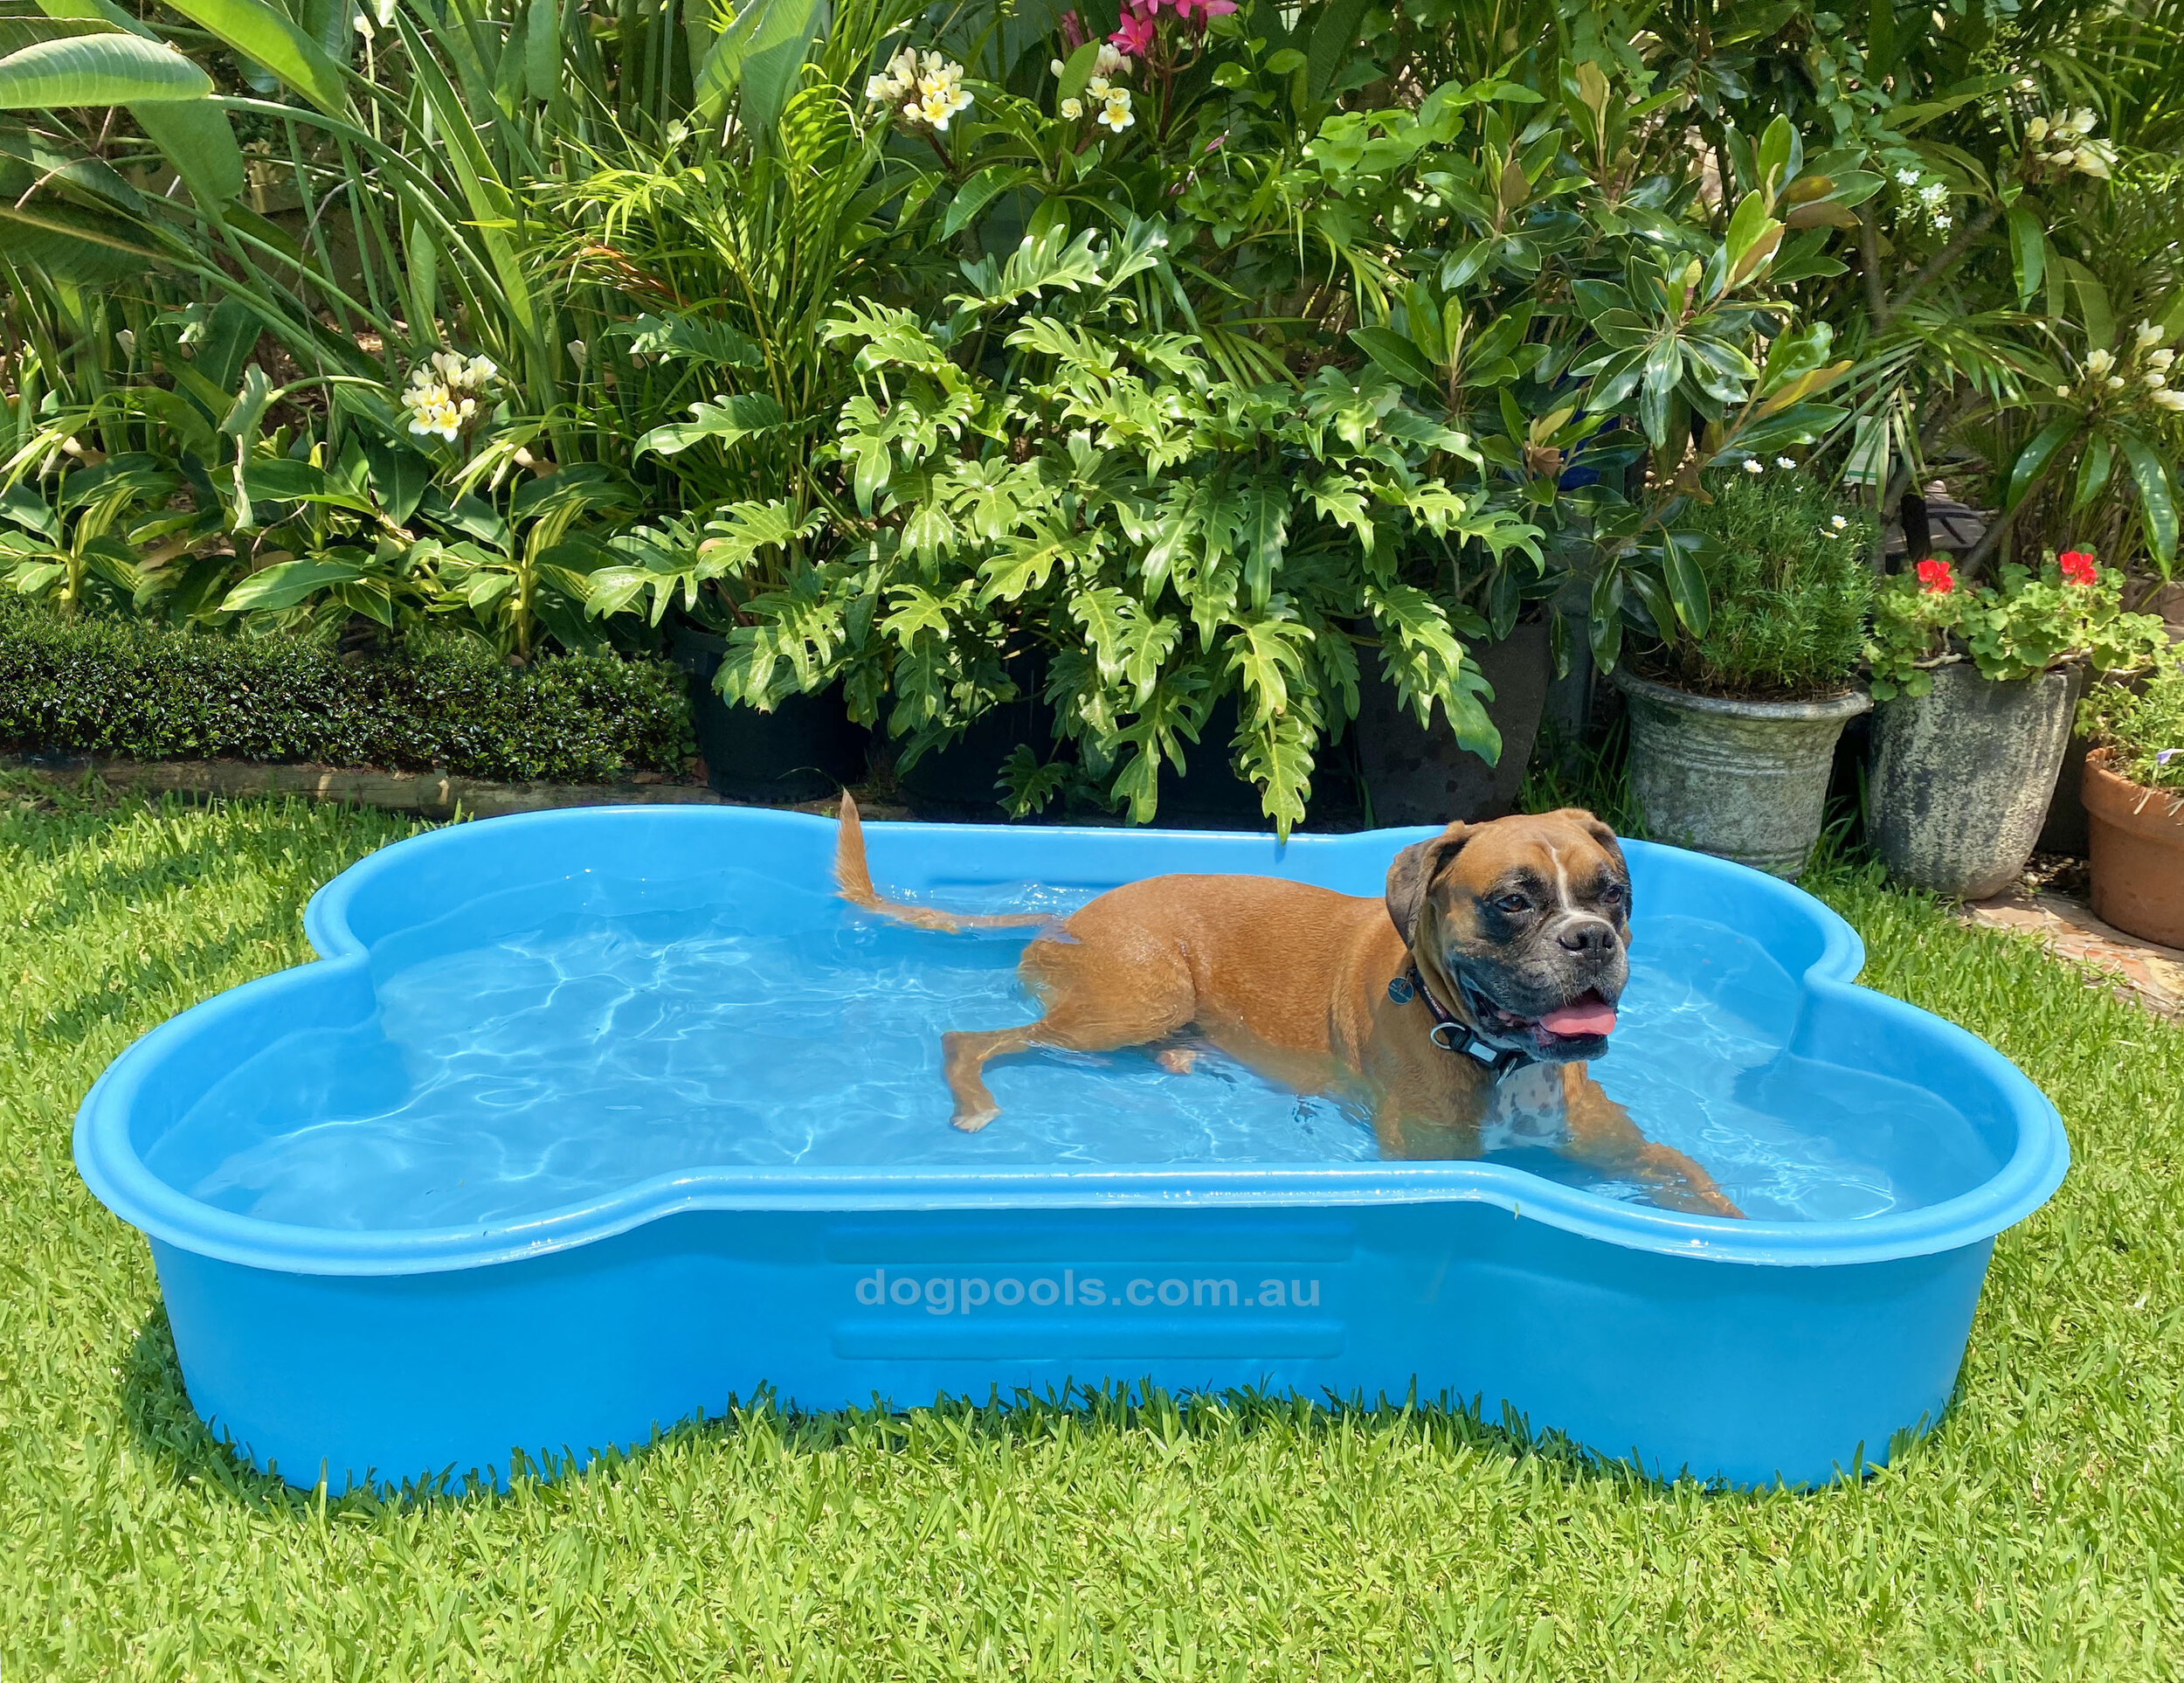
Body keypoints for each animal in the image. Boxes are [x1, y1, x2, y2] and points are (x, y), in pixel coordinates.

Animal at [830, 795, 1738, 1215]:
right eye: (1512, 902)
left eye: (1612, 892)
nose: (1591, 940)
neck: (1499, 1058)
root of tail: (1072, 916)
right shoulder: (1422, 1161)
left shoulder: (1639, 1156)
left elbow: (1704, 1190)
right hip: (1136, 999)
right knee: (972, 1039)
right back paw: (978, 1099)